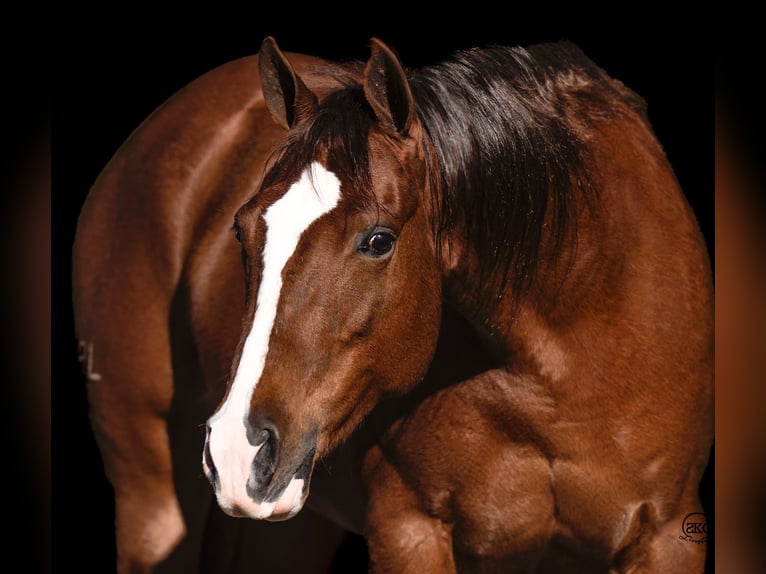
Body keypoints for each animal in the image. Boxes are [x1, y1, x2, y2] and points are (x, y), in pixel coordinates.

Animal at [72, 37, 712, 574]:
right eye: (241, 229)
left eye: (378, 241)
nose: (236, 450)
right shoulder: (409, 531)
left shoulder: (666, 539)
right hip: (153, 501)